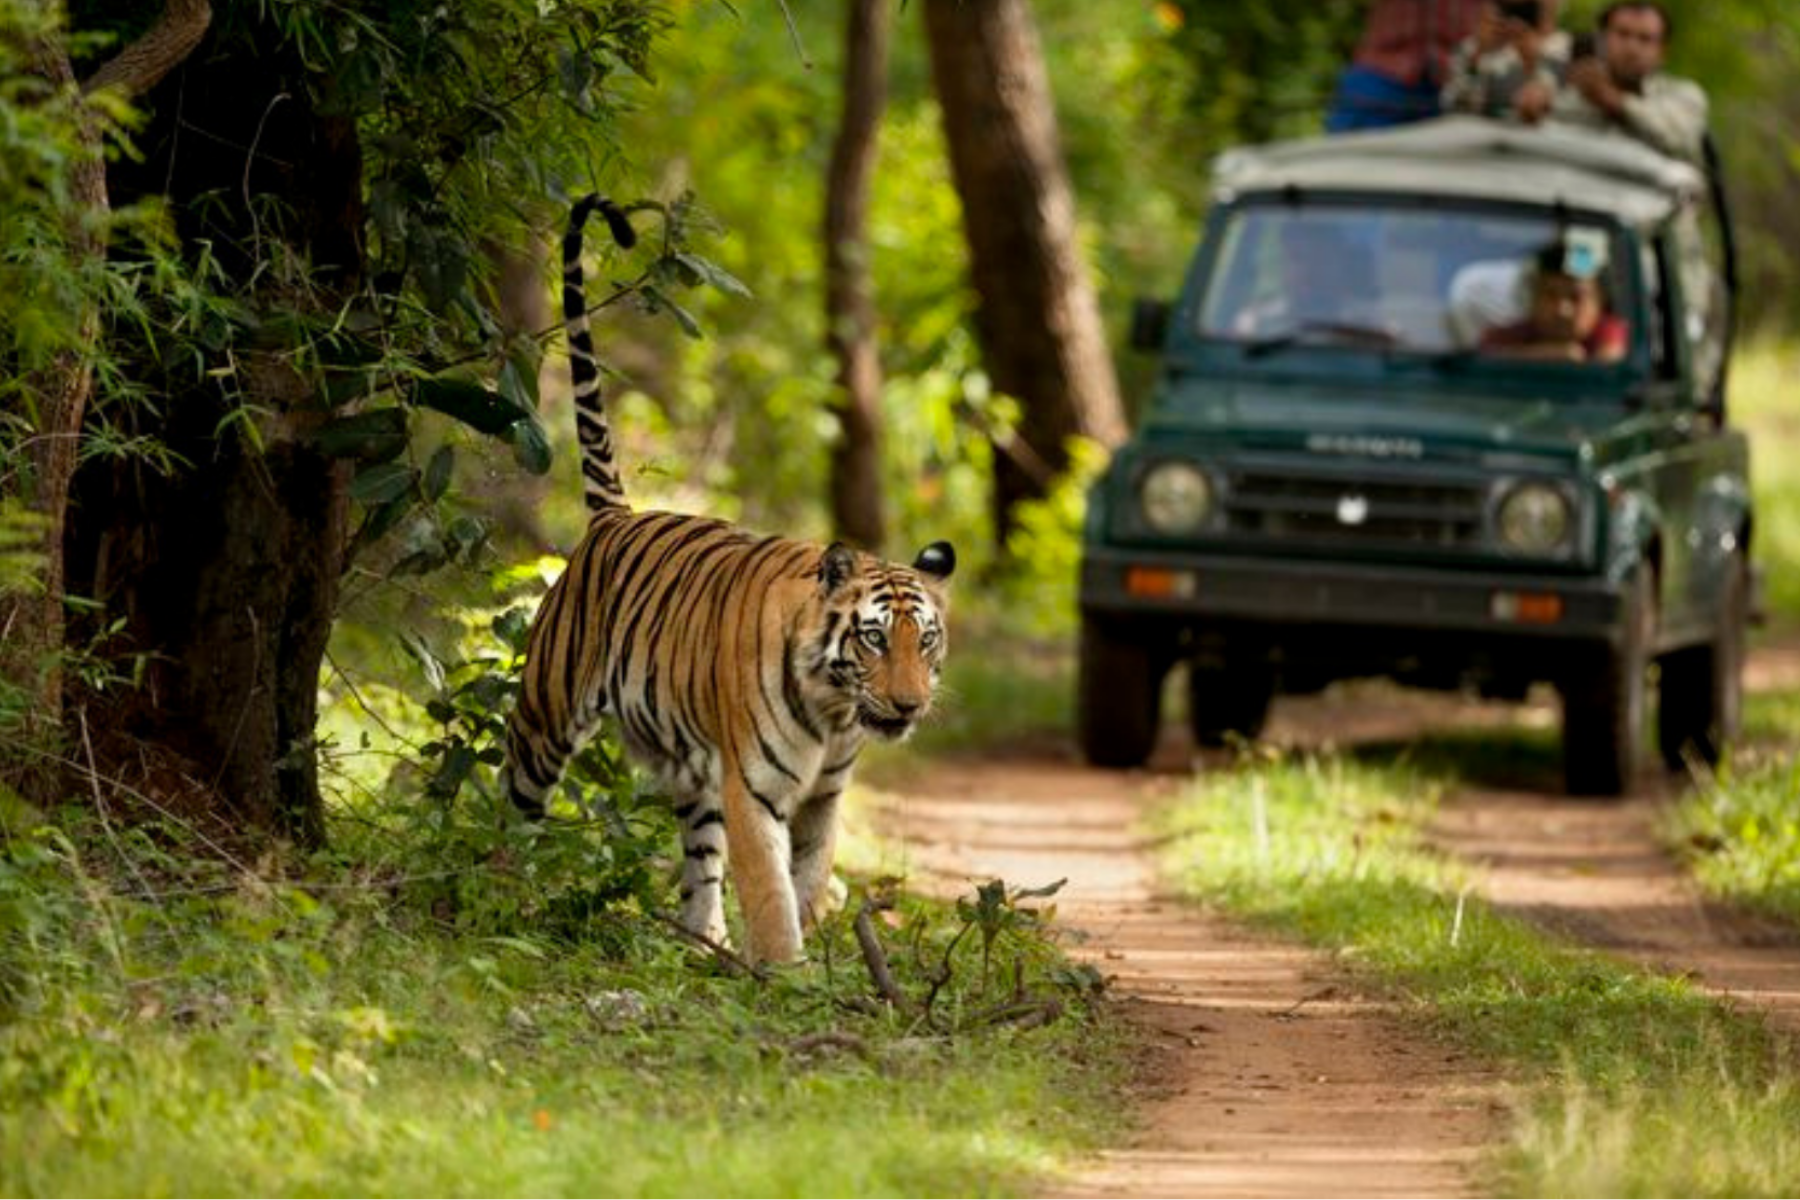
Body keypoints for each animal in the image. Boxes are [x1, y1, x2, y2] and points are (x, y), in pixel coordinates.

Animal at [500, 193, 955, 966]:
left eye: (924, 641)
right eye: (872, 639)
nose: (908, 706)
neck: (837, 711)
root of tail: (615, 518)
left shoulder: (824, 795)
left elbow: (809, 874)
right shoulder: (756, 787)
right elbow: (770, 891)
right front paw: (785, 970)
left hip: (693, 765)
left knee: (699, 855)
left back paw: (702, 939)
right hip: (547, 716)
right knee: (513, 800)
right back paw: (490, 878)